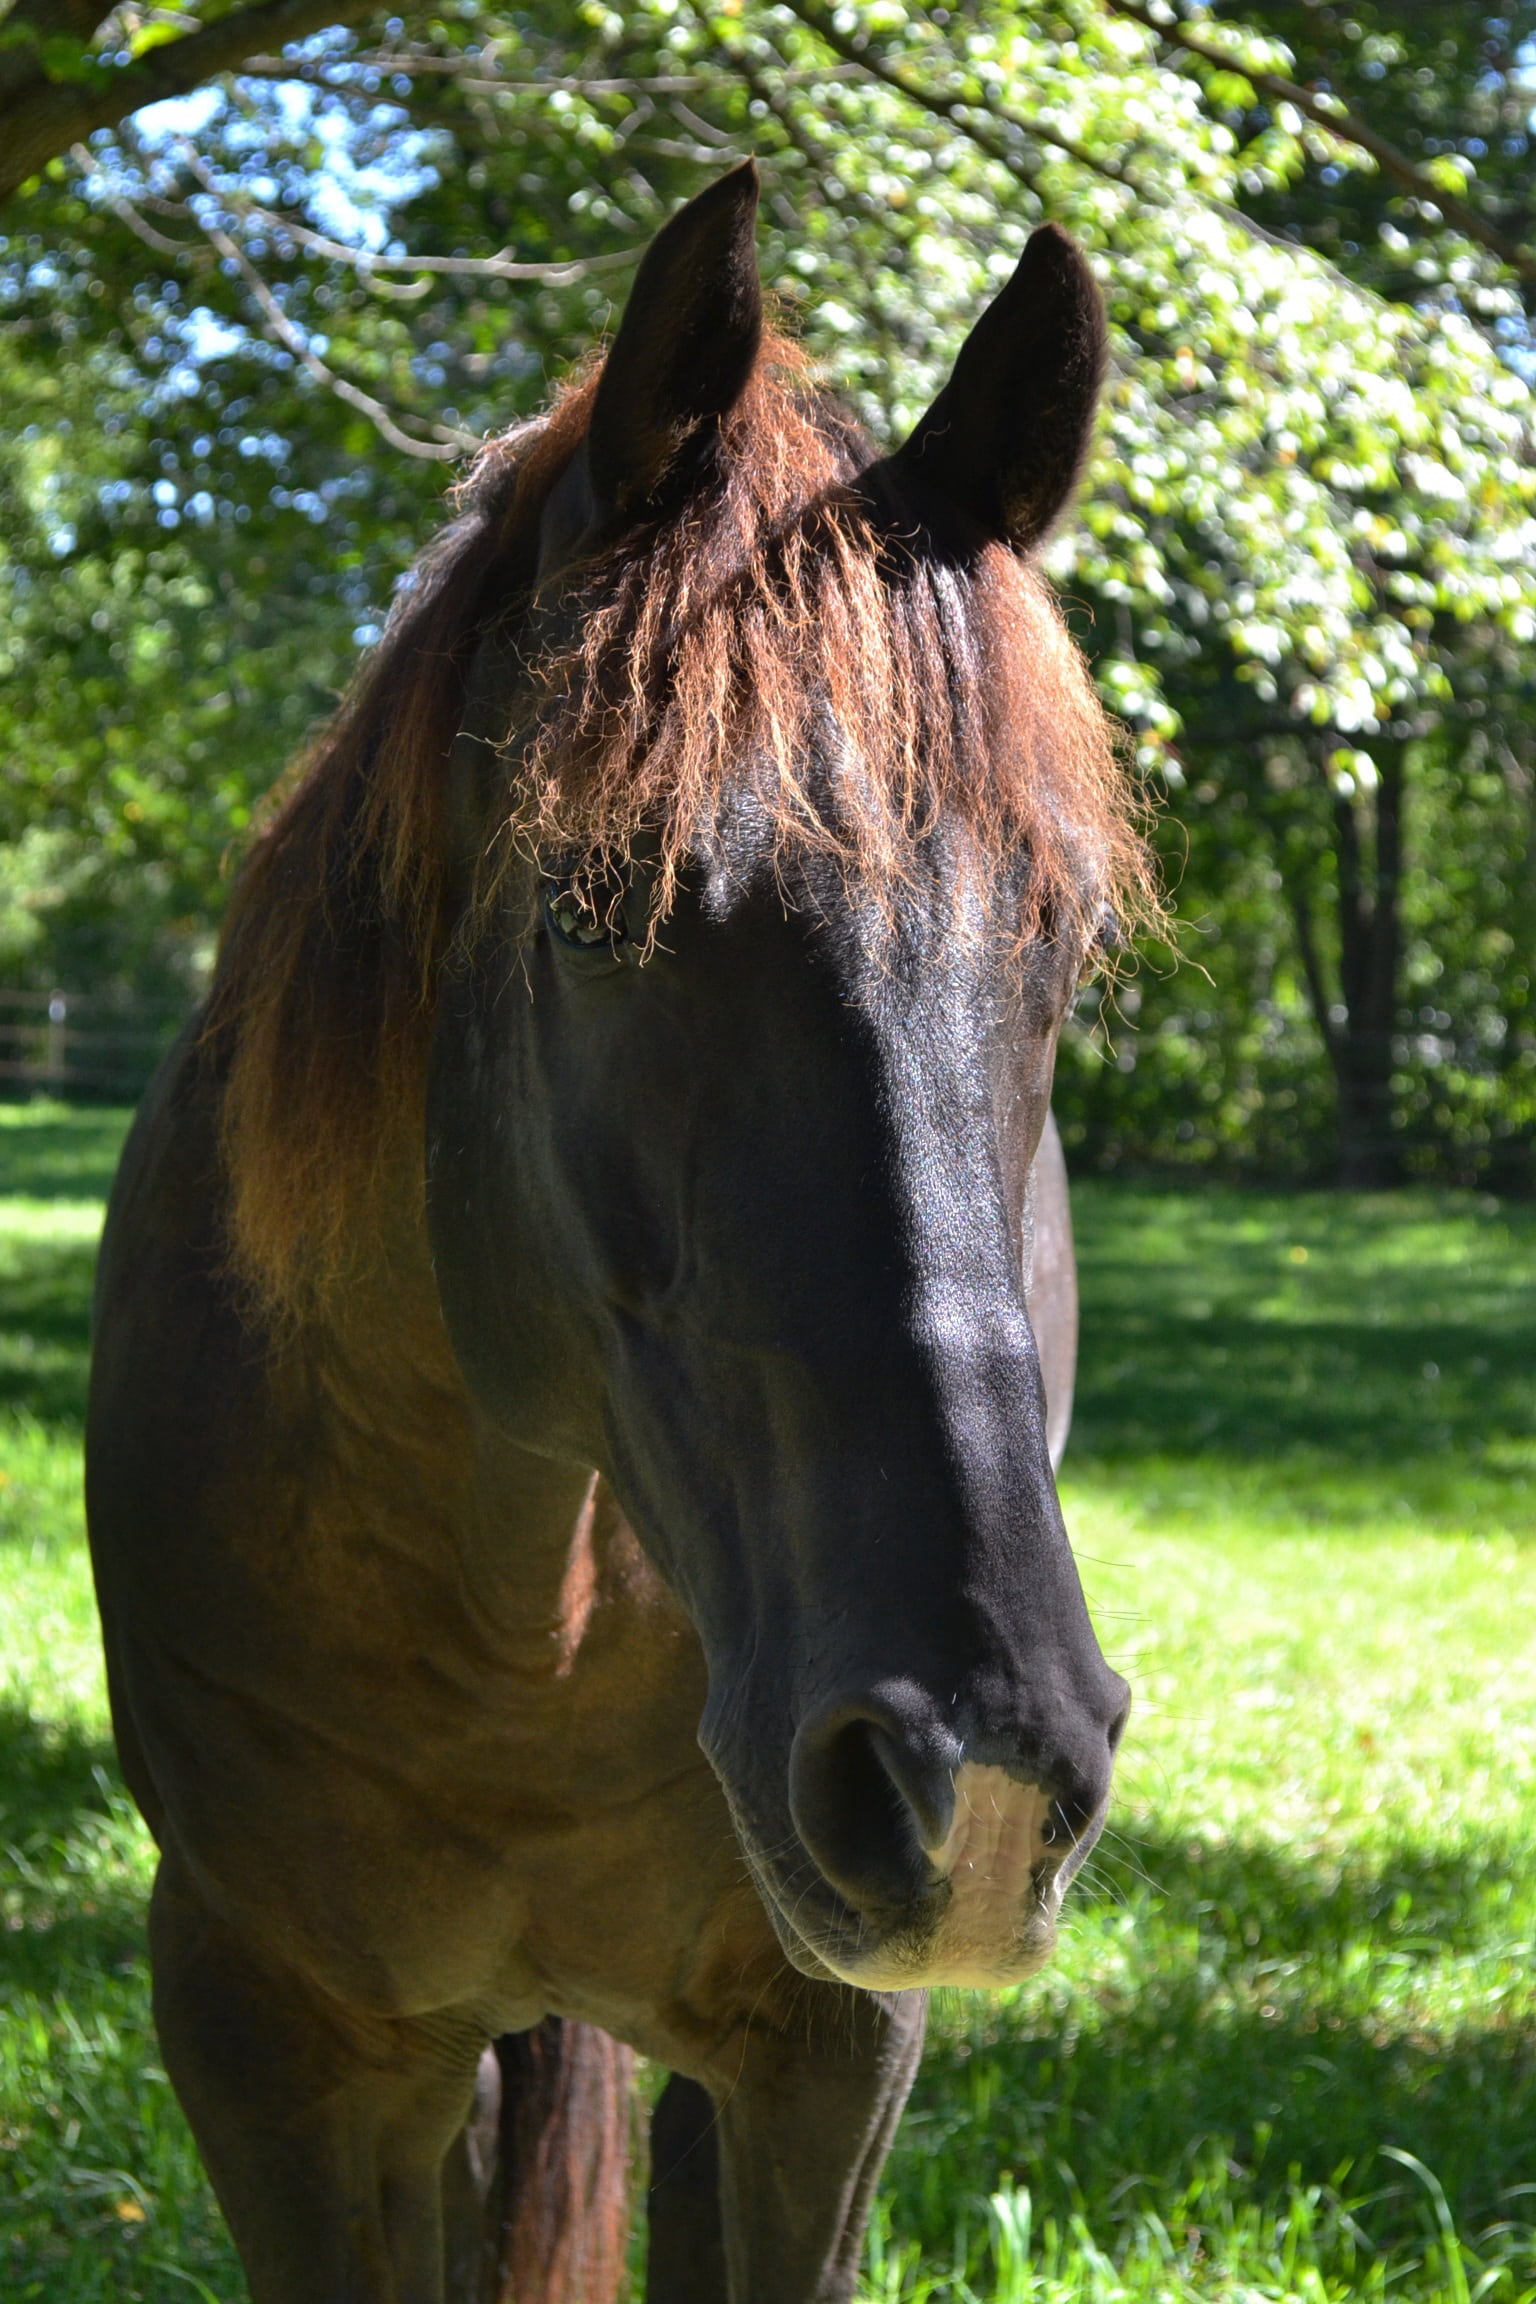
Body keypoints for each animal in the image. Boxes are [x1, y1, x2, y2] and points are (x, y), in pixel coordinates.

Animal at [85, 162, 1148, 2303]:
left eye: (1067, 942)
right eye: (588, 907)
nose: (981, 1768)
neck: (524, 1605)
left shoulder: (822, 2053)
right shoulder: (270, 2042)